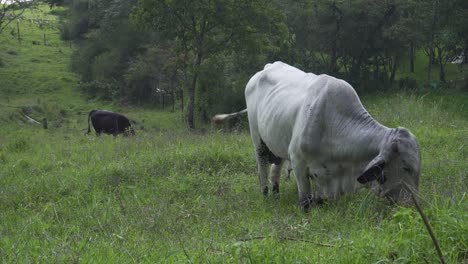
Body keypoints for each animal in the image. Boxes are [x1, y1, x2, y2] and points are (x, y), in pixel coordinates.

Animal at [214, 61, 422, 210]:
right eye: (405, 167)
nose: (412, 205)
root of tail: (266, 68)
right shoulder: (298, 164)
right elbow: (305, 201)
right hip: (258, 142)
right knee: (262, 170)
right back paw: (266, 197)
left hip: (278, 144)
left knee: (275, 170)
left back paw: (276, 194)